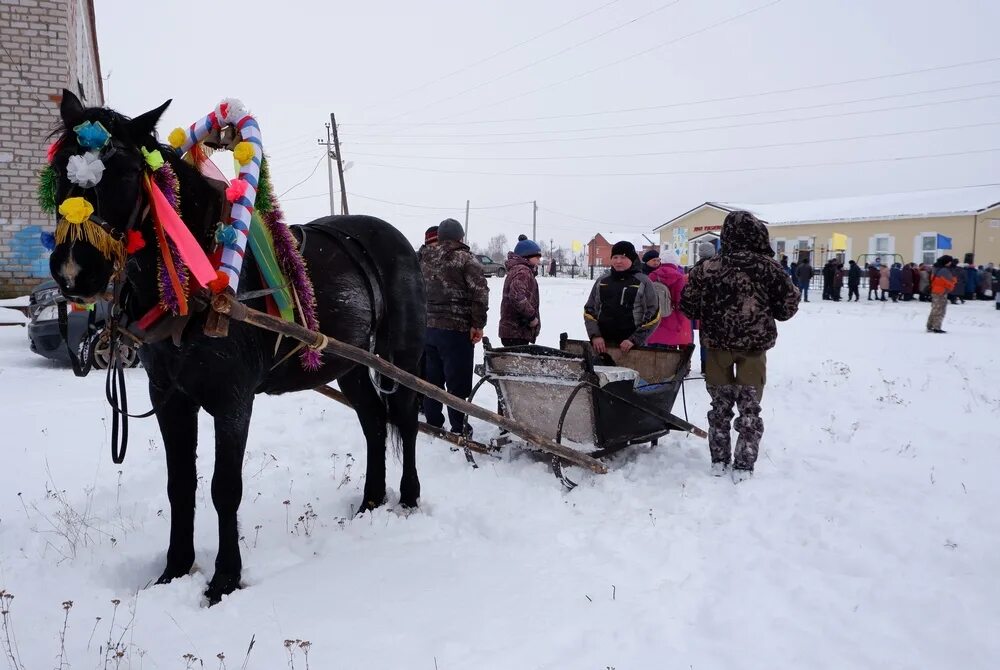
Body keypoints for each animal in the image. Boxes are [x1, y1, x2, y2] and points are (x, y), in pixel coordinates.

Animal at [48, 88, 424, 604]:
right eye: (59, 168)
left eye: (124, 172)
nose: (73, 272)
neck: (196, 282)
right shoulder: (170, 397)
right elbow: (180, 485)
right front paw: (173, 570)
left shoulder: (232, 400)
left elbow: (225, 488)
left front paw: (223, 580)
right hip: (345, 364)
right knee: (372, 422)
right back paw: (370, 502)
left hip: (398, 355)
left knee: (404, 418)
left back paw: (407, 498)